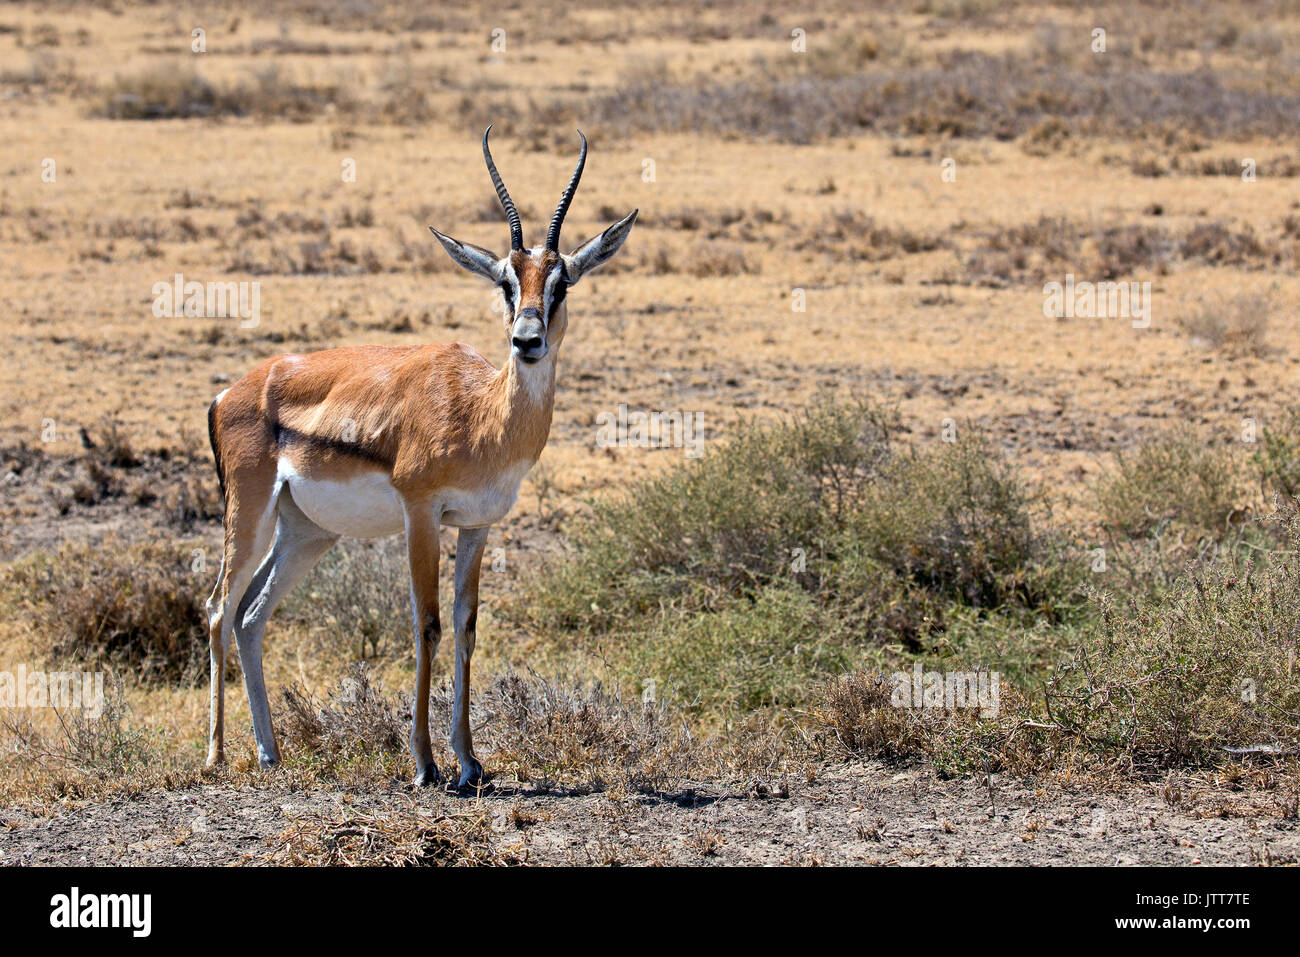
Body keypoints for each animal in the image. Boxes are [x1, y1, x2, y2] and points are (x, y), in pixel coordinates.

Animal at [204, 128, 637, 787]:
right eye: (505, 283)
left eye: (561, 283)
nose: (527, 341)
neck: (481, 415)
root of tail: (230, 392)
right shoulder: (421, 515)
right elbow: (425, 624)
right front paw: (427, 764)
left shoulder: (478, 525)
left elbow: (466, 626)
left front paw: (469, 761)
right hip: (248, 518)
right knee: (216, 611)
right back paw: (217, 756)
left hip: (307, 533)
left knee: (251, 617)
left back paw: (270, 753)